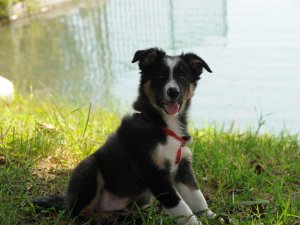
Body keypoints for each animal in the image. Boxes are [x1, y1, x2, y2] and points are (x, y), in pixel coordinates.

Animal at [32, 48, 216, 225]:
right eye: (160, 76)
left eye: (183, 77)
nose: (173, 92)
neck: (162, 124)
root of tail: (66, 199)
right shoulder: (154, 172)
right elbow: (181, 207)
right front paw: (198, 222)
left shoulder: (183, 167)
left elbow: (198, 199)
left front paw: (212, 217)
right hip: (89, 167)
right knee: (77, 212)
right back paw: (103, 218)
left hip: (141, 196)